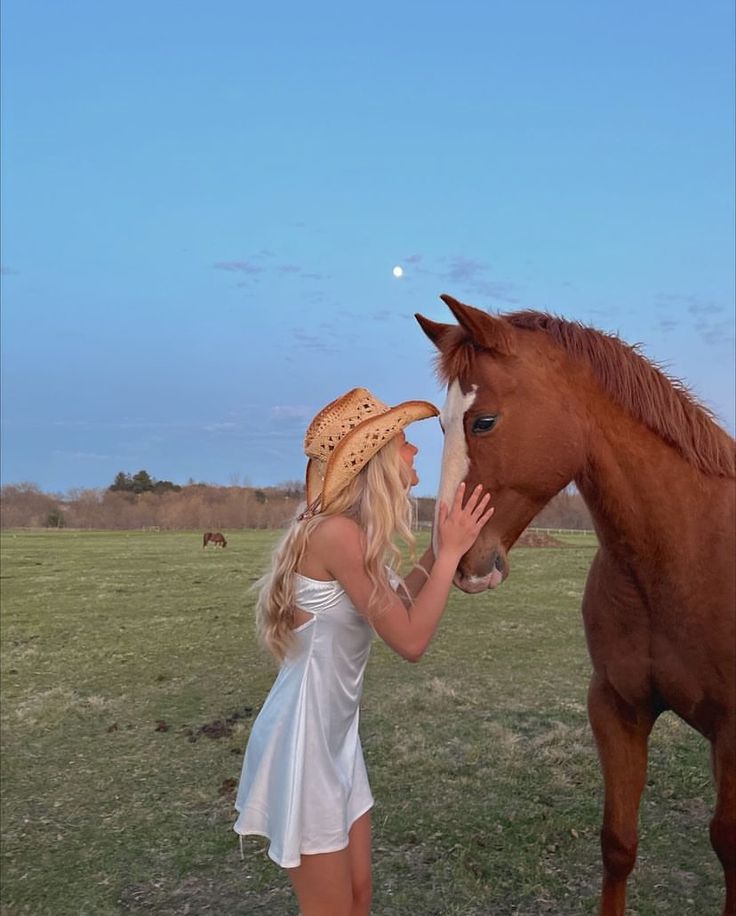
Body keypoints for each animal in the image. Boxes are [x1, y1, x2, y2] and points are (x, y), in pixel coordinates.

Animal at [416, 296, 732, 916]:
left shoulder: (732, 734)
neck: (684, 553)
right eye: (440, 424)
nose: (455, 561)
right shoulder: (617, 706)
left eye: (483, 421)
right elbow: (618, 843)